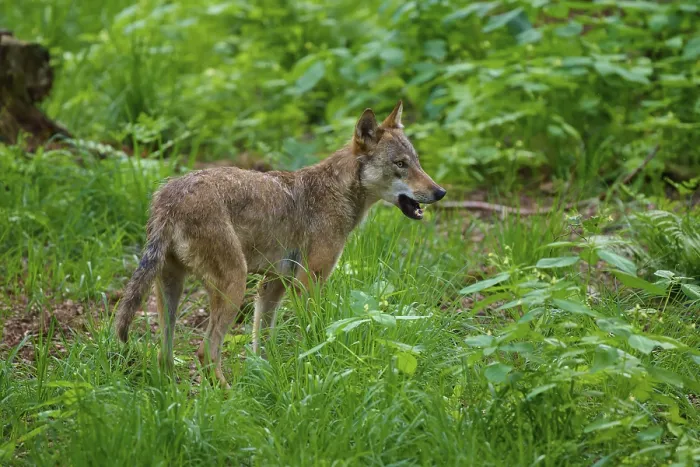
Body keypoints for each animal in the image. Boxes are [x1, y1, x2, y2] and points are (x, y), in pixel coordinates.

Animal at [114, 101, 446, 387]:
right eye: (400, 164)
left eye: (417, 163)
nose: (440, 192)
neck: (335, 192)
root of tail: (170, 197)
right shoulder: (307, 283)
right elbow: (314, 335)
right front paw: (317, 367)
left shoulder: (272, 284)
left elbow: (261, 343)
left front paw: (267, 379)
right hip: (233, 286)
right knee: (205, 352)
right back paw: (229, 398)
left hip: (172, 290)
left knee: (164, 355)